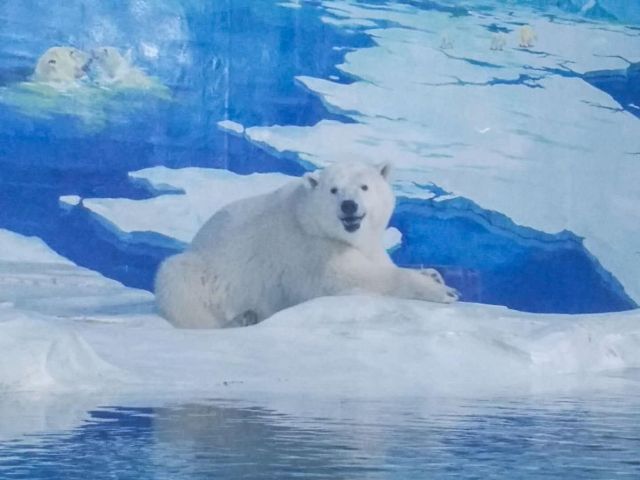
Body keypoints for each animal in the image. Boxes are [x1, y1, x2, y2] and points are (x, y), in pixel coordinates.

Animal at [154, 162, 459, 329]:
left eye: (364, 186)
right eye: (333, 190)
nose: (349, 206)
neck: (305, 215)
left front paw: (433, 274)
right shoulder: (309, 249)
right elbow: (350, 277)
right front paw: (443, 291)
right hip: (200, 270)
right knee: (181, 286)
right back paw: (240, 318)